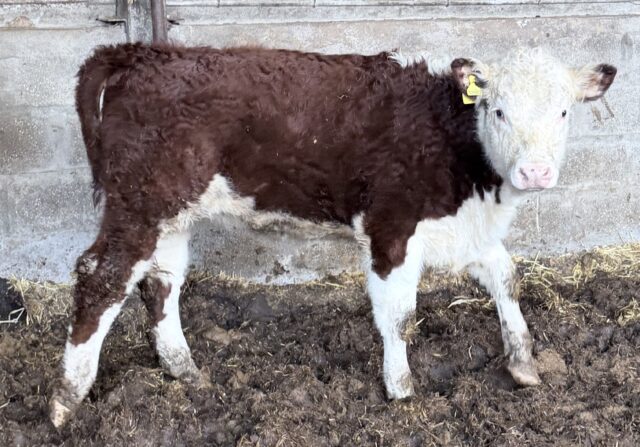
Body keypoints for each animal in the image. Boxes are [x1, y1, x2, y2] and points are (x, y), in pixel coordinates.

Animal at [49, 43, 616, 427]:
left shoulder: (465, 229)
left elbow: (507, 277)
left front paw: (523, 363)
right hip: (140, 203)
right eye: (498, 109)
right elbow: (399, 315)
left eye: (564, 111)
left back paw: (185, 371)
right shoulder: (391, 228)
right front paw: (401, 390)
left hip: (171, 213)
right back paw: (66, 398)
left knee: (160, 281)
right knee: (102, 278)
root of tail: (141, 54)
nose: (536, 173)